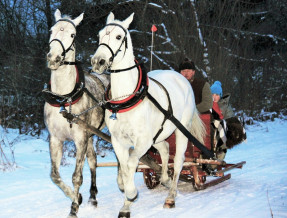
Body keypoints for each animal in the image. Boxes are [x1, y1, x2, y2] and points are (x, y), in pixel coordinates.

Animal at [44, 8, 108, 218]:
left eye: (72, 34)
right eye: (52, 30)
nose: (54, 58)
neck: (64, 97)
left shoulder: (80, 138)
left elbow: (76, 176)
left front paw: (73, 208)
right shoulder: (56, 139)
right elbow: (55, 176)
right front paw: (77, 197)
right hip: (91, 135)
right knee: (93, 160)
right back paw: (92, 196)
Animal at [91, 12, 206, 217]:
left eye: (118, 37)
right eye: (100, 35)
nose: (98, 62)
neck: (126, 98)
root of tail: (181, 78)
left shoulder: (142, 142)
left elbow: (130, 164)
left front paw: (131, 194)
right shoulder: (118, 141)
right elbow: (124, 168)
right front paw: (125, 199)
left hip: (181, 130)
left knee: (178, 161)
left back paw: (171, 196)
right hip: (159, 134)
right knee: (165, 150)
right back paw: (165, 179)